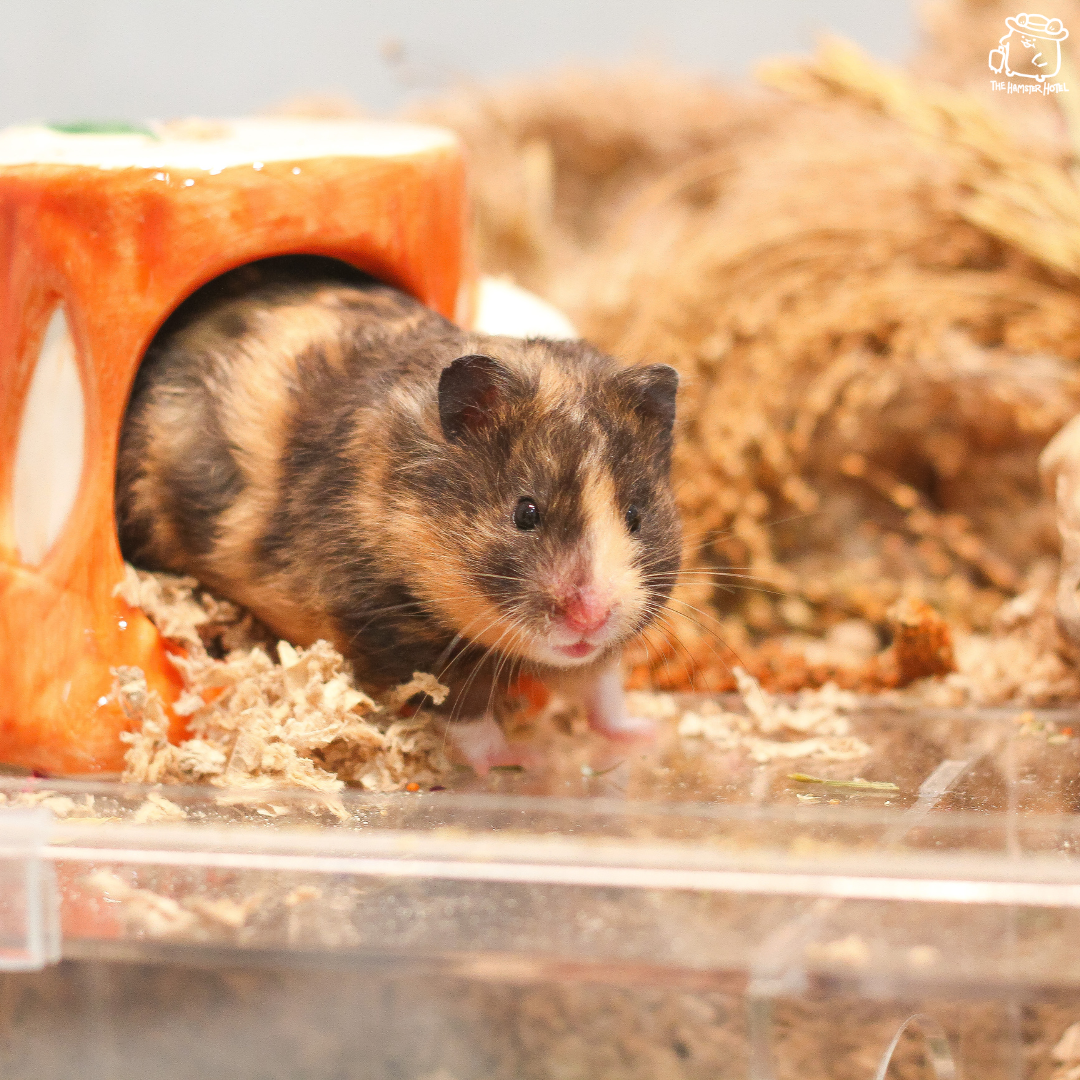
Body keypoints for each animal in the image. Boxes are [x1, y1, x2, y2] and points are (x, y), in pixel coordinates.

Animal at [116, 256, 682, 771]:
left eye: (635, 515)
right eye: (525, 512)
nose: (591, 617)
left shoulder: (598, 653)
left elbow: (604, 692)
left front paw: (650, 735)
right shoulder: (396, 640)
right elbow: (469, 718)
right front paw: (526, 760)